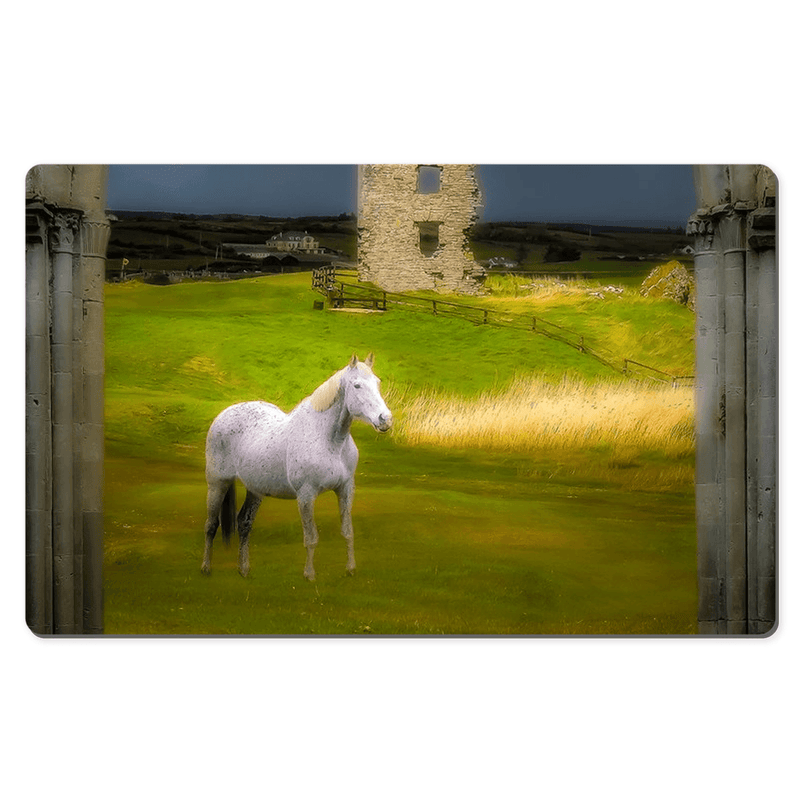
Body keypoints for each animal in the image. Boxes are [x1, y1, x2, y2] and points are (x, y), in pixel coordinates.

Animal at [198, 354, 390, 580]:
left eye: (377, 382)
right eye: (357, 385)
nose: (385, 419)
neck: (330, 440)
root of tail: (223, 415)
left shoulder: (345, 489)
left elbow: (347, 531)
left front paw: (350, 569)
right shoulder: (306, 495)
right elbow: (311, 537)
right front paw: (309, 575)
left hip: (255, 489)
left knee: (244, 523)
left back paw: (243, 569)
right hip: (217, 483)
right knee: (211, 525)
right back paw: (206, 568)